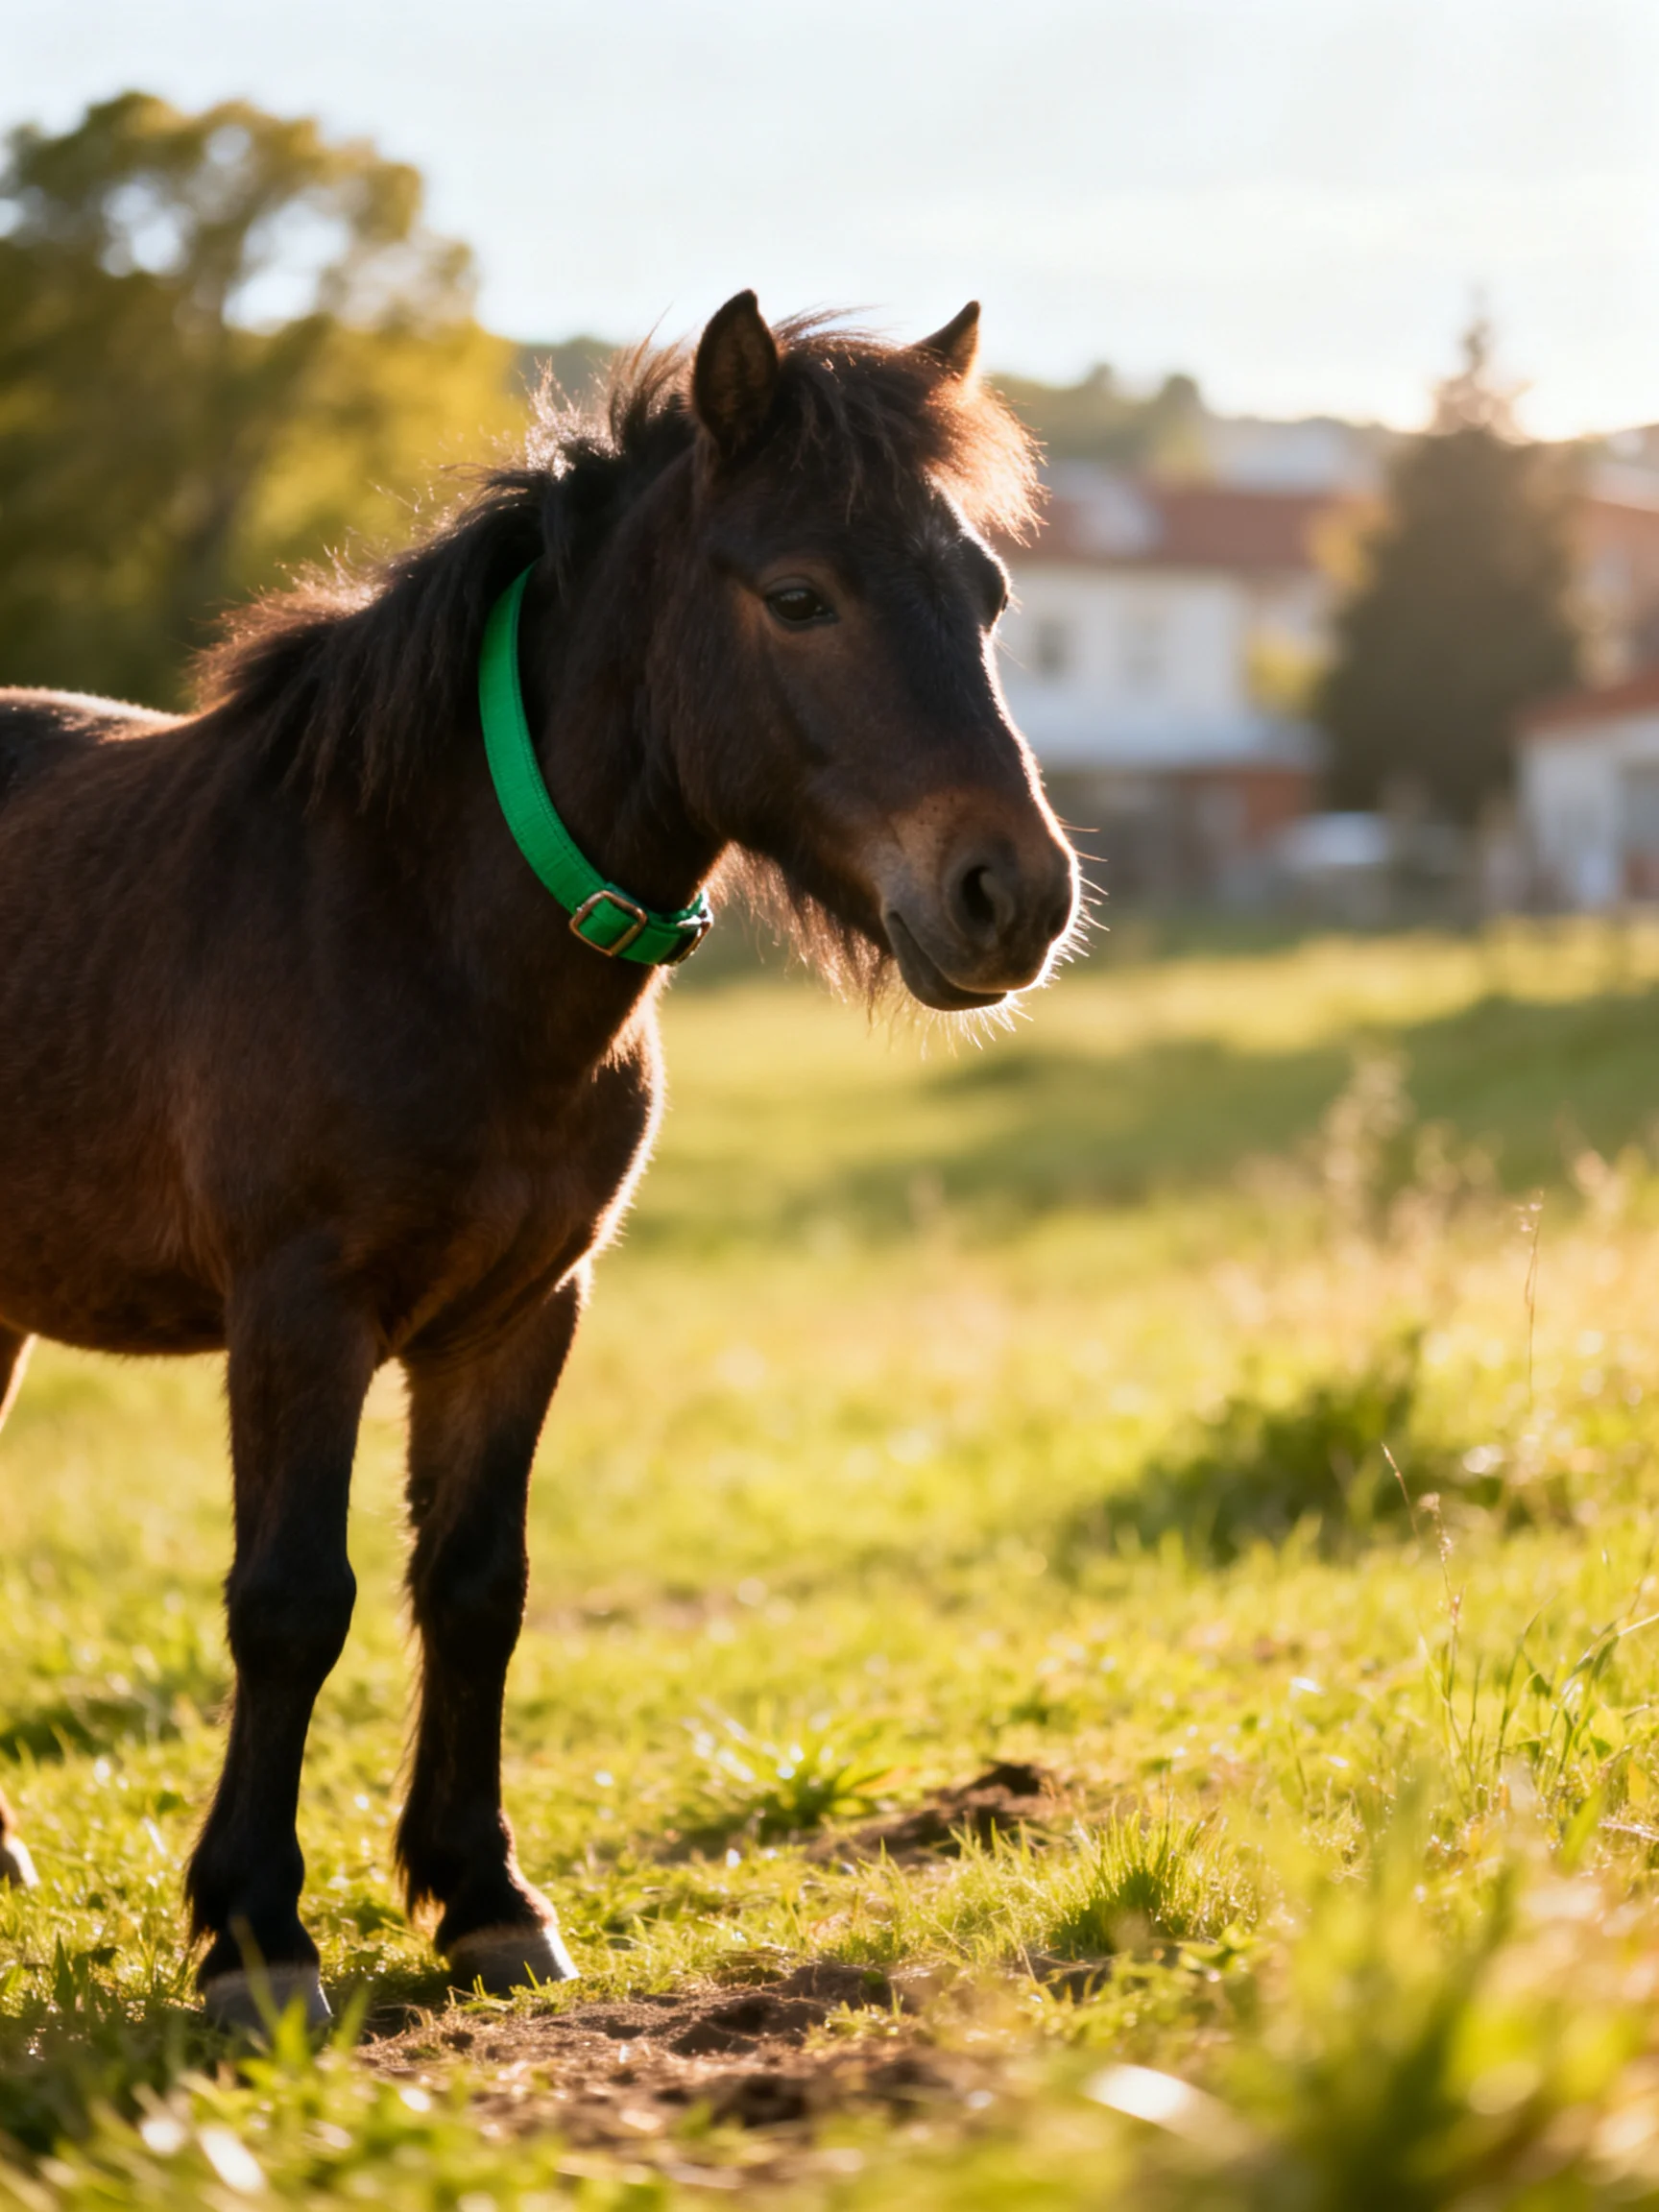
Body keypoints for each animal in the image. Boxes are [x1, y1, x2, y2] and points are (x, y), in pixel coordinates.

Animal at [0, 291, 1078, 2026]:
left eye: (982, 595)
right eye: (798, 594)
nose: (1013, 895)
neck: (419, 922)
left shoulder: (520, 1311)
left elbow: (474, 1587)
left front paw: (485, 1897)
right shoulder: (300, 1312)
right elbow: (291, 1601)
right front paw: (255, 1933)